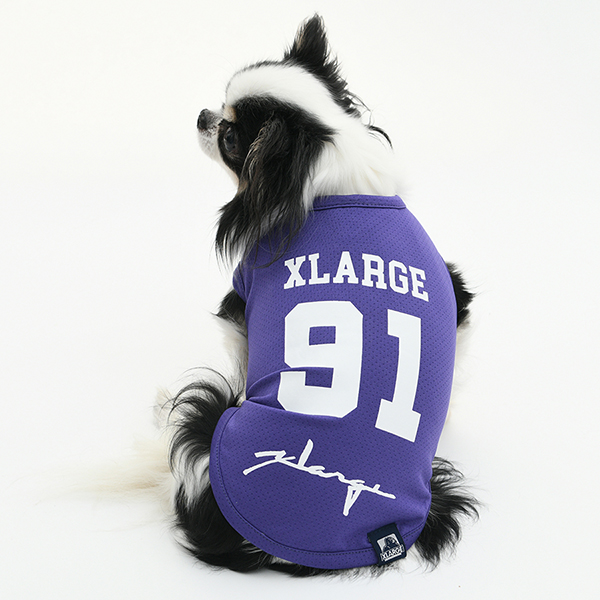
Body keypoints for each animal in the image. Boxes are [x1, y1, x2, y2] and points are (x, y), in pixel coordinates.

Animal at [167, 15, 478, 576]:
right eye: (218, 112)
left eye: (229, 135)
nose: (202, 115)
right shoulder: (457, 293)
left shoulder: (240, 302)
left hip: (204, 427)